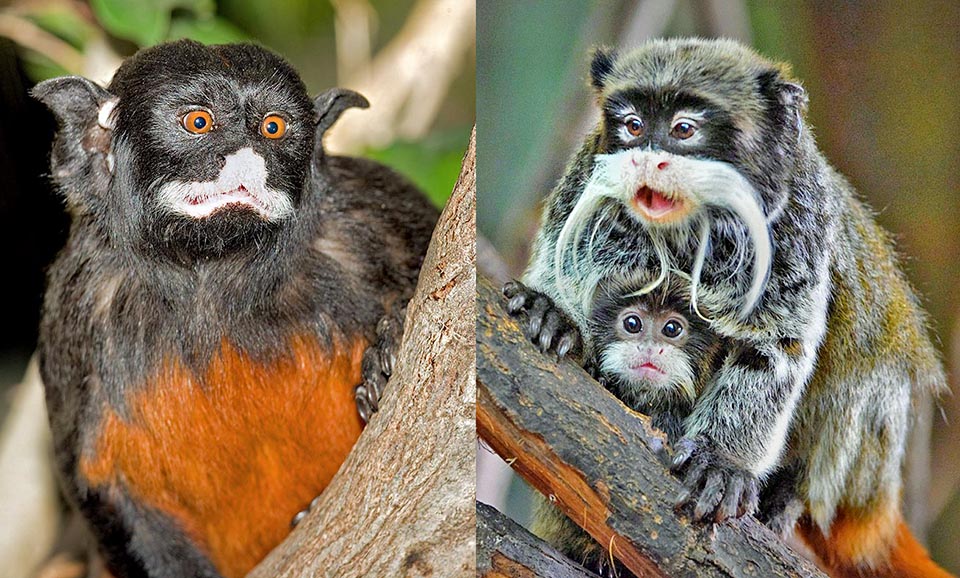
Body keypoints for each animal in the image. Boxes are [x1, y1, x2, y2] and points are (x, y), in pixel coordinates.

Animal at [34, 41, 438, 576]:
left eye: (273, 127)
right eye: (199, 122)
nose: (247, 157)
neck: (213, 279)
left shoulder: (373, 216)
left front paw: (387, 353)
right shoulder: (75, 313)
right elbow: (99, 481)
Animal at [506, 37, 956, 576]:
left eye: (683, 130)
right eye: (634, 126)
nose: (646, 160)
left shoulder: (795, 220)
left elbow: (774, 347)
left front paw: (722, 462)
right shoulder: (587, 177)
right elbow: (564, 254)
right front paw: (554, 312)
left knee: (863, 368)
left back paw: (787, 495)